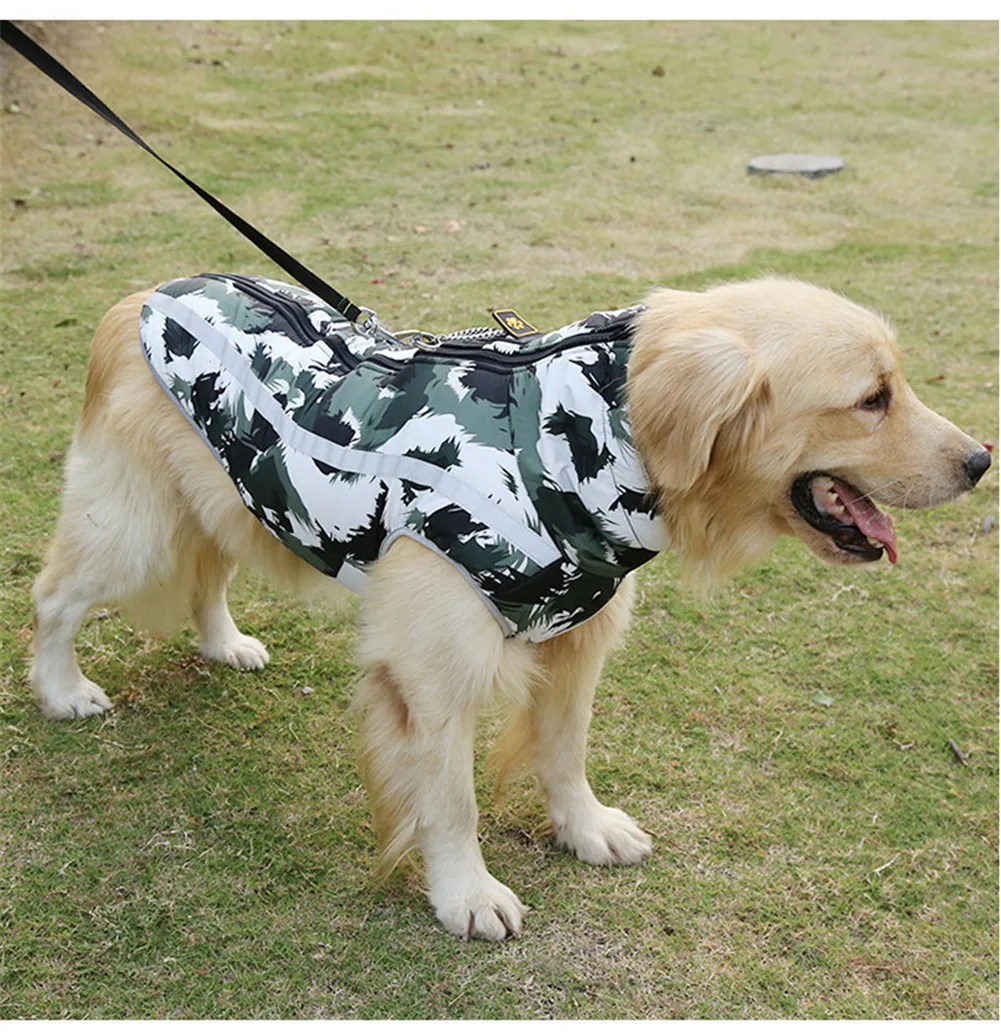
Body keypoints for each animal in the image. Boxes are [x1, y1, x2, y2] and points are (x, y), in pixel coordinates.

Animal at [30, 276, 990, 940]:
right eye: (871, 399)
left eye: (896, 385)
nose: (981, 459)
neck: (575, 449)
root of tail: (139, 297)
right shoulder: (433, 671)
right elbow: (450, 800)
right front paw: (465, 893)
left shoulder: (578, 637)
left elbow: (564, 753)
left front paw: (584, 828)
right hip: (132, 525)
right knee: (53, 595)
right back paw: (62, 689)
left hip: (232, 499)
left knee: (208, 576)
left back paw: (224, 643)